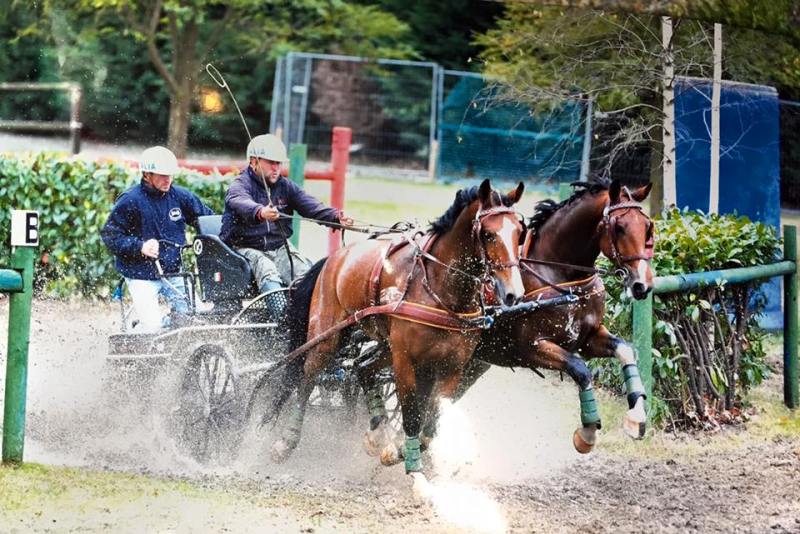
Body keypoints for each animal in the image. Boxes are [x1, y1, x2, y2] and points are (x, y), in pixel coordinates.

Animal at [270, 181, 532, 478]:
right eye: (488, 234)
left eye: (520, 233)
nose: (513, 293)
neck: (440, 291)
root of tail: (336, 257)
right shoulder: (406, 360)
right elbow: (412, 414)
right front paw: (411, 464)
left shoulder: (452, 367)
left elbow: (432, 423)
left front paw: (396, 449)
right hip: (327, 335)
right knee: (307, 378)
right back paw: (286, 442)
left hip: (385, 345)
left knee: (362, 366)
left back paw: (378, 432)